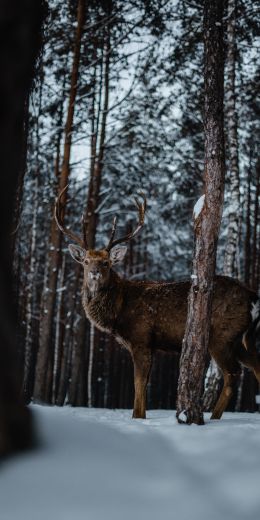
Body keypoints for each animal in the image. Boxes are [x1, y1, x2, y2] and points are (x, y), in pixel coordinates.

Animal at [54, 185, 260, 420]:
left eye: (106, 262)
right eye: (86, 261)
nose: (94, 272)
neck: (118, 312)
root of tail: (253, 296)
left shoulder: (141, 338)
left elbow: (138, 383)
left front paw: (137, 417)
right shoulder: (150, 345)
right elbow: (144, 385)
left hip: (222, 335)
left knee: (233, 373)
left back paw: (212, 418)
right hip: (241, 337)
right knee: (255, 364)